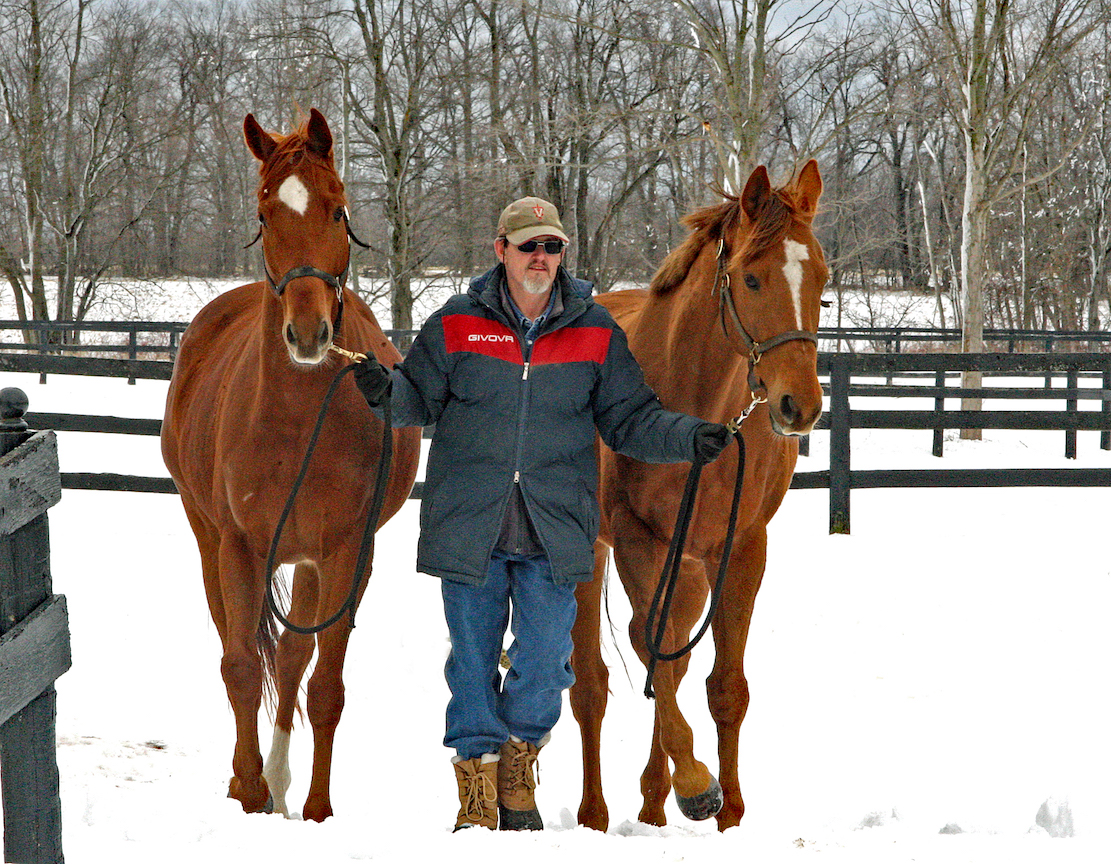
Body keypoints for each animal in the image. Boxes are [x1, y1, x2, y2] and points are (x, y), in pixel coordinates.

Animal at [162, 109, 422, 821]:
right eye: (264, 210)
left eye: (338, 209)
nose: (307, 333)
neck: (296, 419)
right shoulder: (239, 546)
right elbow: (242, 668)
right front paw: (248, 791)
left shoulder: (346, 553)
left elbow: (324, 683)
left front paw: (315, 809)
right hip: (207, 537)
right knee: (238, 646)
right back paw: (248, 776)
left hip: (308, 558)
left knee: (295, 657)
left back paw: (280, 778)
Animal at [573, 159, 826, 826]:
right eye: (752, 278)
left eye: (821, 277)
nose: (800, 405)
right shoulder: (636, 540)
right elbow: (648, 647)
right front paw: (694, 782)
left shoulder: (740, 548)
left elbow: (725, 686)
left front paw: (730, 810)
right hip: (592, 553)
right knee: (592, 683)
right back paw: (597, 812)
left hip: (686, 569)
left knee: (677, 662)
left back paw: (652, 801)